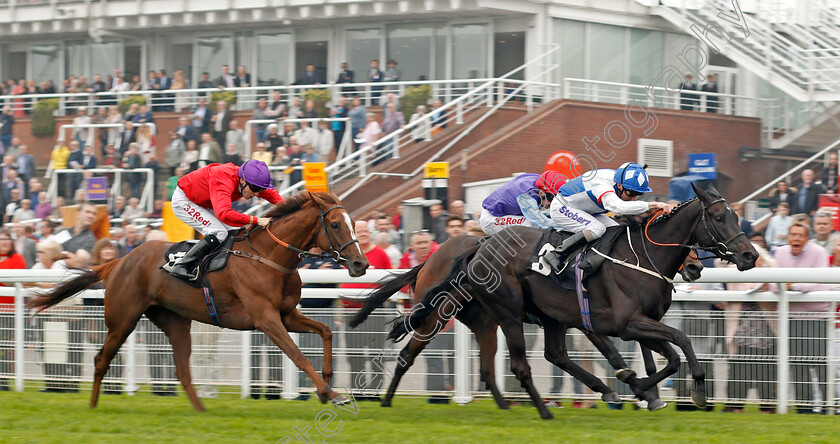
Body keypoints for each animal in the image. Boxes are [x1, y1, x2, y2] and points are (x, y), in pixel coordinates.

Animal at [28, 193, 368, 412]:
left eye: (353, 223)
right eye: (335, 225)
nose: (360, 264)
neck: (269, 256)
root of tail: (120, 260)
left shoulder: (285, 314)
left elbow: (326, 331)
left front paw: (329, 385)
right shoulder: (266, 318)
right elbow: (297, 355)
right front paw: (329, 392)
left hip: (174, 320)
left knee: (182, 368)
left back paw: (201, 409)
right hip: (123, 319)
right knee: (102, 359)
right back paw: (93, 406)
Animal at [390, 182, 756, 418]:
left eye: (737, 217)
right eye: (719, 218)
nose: (750, 255)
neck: (643, 256)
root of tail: (476, 249)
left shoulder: (636, 323)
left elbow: (669, 357)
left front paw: (641, 389)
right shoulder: (624, 323)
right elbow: (678, 342)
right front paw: (692, 390)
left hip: (511, 319)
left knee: (543, 357)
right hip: (493, 313)